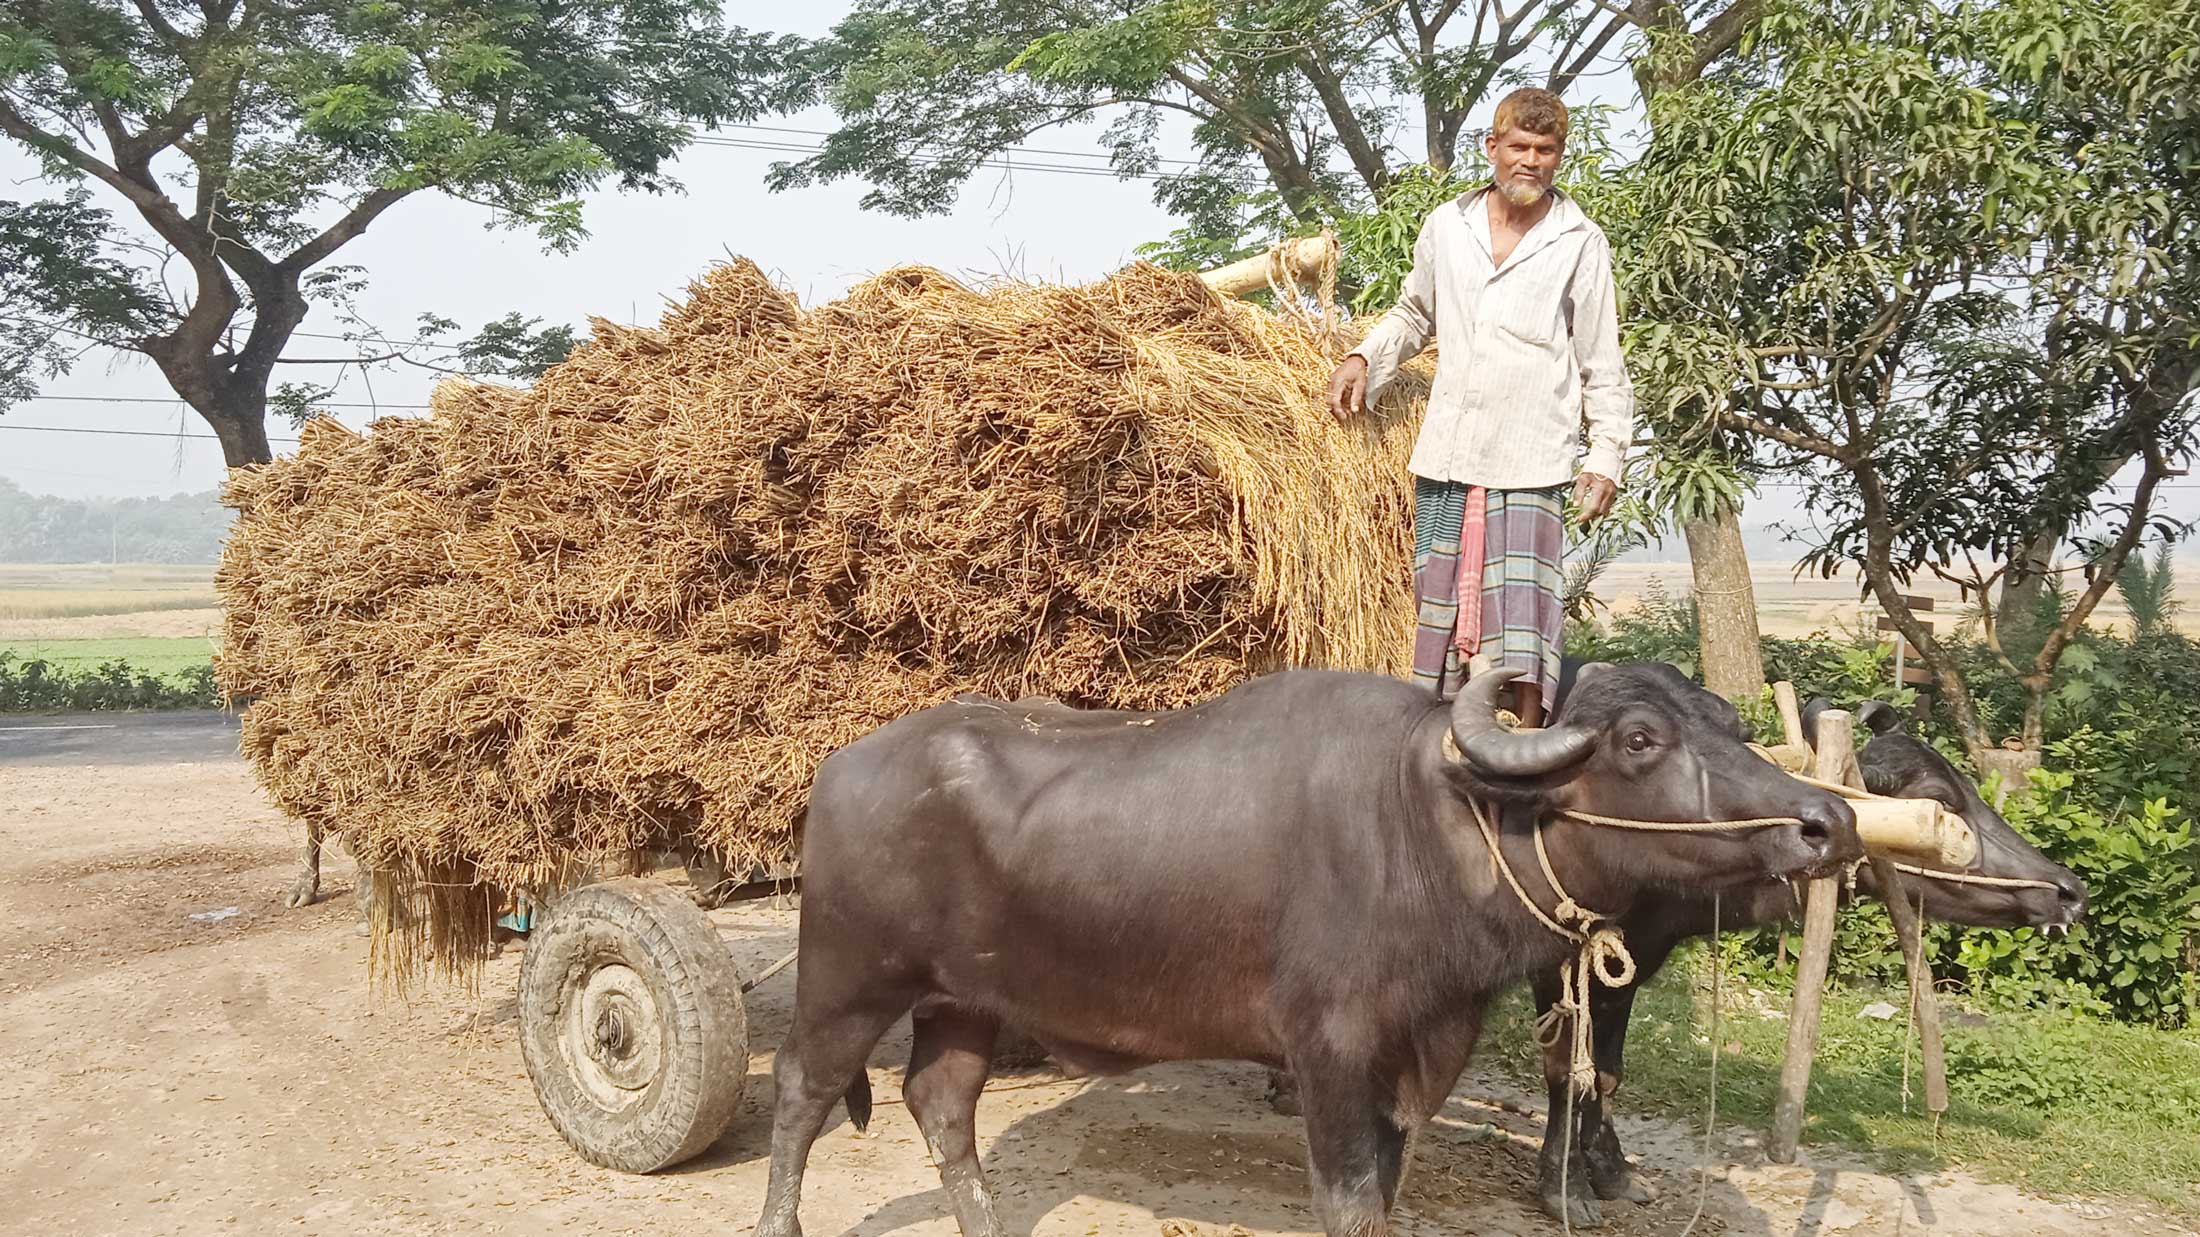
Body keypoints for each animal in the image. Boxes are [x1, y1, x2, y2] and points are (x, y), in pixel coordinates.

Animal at [752, 664, 1856, 1232]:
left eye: (1728, 724)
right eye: (1637, 740)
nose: (1827, 821)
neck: (1435, 819)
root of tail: (841, 765)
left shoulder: (1413, 1059)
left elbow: (1393, 1189)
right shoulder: (1329, 1053)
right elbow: (1350, 1201)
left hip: (967, 999)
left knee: (941, 1102)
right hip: (849, 976)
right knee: (803, 1091)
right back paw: (779, 1220)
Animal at [1531, 673, 2076, 1223]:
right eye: (1941, 800)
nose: (2070, 891)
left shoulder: (1630, 964)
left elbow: (1606, 1073)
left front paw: (1612, 1173)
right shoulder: (1556, 965)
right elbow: (1566, 1073)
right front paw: (1566, 1188)